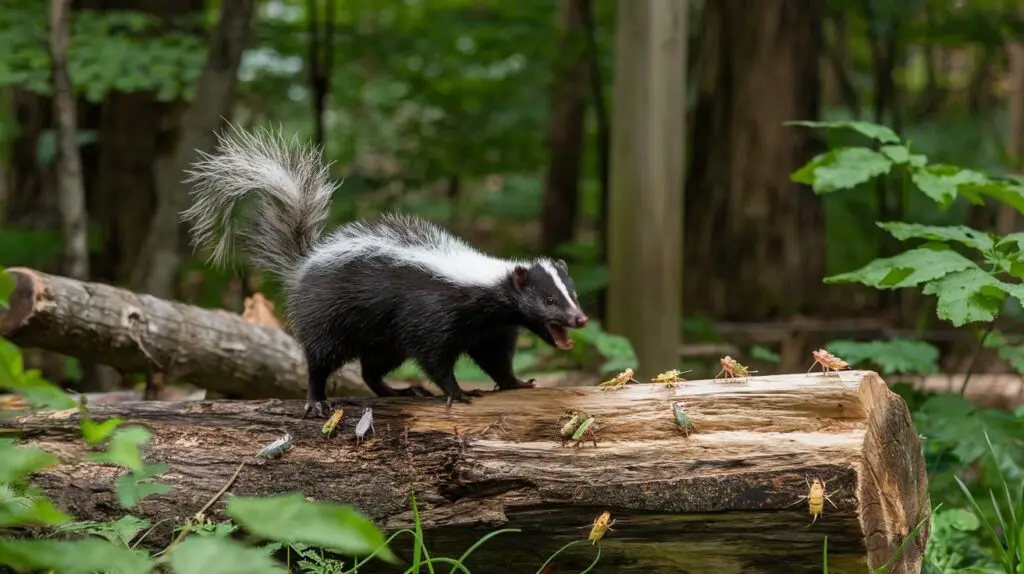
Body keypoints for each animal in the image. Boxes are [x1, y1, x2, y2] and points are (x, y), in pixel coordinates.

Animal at [180, 125, 589, 415]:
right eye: (549, 300)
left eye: (573, 294)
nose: (580, 318)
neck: (484, 285)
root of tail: (306, 261)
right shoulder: (434, 313)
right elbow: (435, 358)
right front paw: (456, 392)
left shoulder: (492, 327)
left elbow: (495, 358)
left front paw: (516, 382)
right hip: (332, 314)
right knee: (320, 358)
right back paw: (317, 400)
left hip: (383, 336)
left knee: (371, 369)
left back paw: (399, 390)